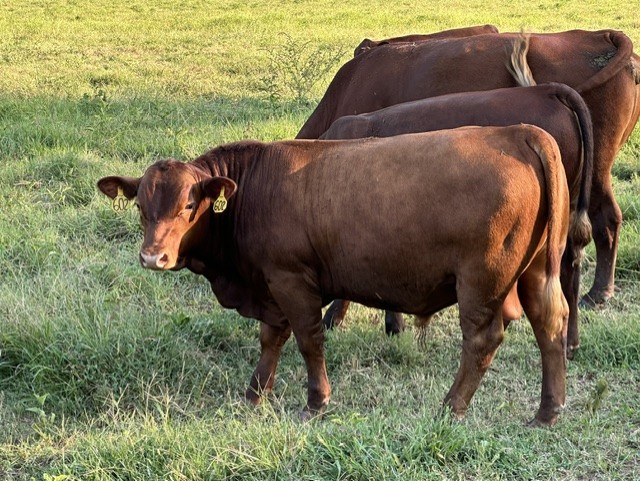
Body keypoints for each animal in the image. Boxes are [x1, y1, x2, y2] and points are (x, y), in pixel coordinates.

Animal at [98, 124, 570, 426]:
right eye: (141, 206)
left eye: (188, 206)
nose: (152, 257)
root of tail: (516, 132)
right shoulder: (271, 285)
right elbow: (271, 338)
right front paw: (254, 394)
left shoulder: (290, 279)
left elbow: (308, 340)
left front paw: (316, 401)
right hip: (534, 272)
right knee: (550, 325)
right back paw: (547, 411)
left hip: (481, 280)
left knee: (481, 340)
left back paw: (451, 407)